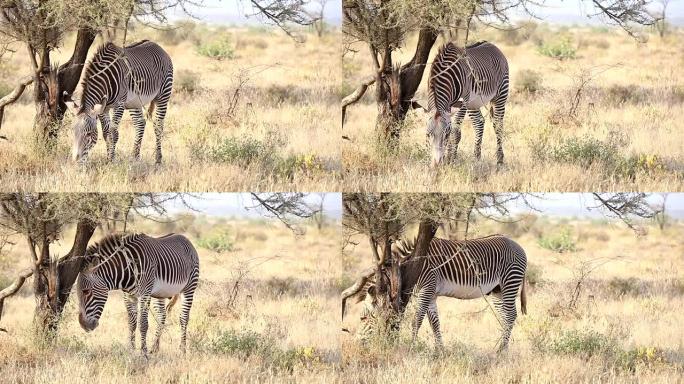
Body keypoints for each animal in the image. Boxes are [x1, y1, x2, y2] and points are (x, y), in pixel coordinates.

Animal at [340, 234, 528, 352]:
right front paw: (440, 351)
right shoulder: (431, 294)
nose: (355, 345)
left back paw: (502, 350)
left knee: (511, 315)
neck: (411, 265)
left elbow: (416, 321)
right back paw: (499, 346)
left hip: (510, 282)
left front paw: (412, 348)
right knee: (506, 316)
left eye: (363, 318)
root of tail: (520, 247)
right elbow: (434, 323)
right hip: (497, 290)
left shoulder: (427, 288)